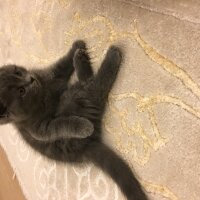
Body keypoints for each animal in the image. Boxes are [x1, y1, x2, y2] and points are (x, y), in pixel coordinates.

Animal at [0, 41, 147, 200]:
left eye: (18, 72)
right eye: (21, 91)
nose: (30, 79)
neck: (42, 91)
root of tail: (86, 147)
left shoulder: (50, 74)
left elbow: (61, 65)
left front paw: (76, 46)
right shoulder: (38, 128)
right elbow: (61, 124)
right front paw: (83, 127)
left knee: (87, 82)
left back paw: (80, 56)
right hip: (76, 98)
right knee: (94, 86)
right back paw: (109, 56)